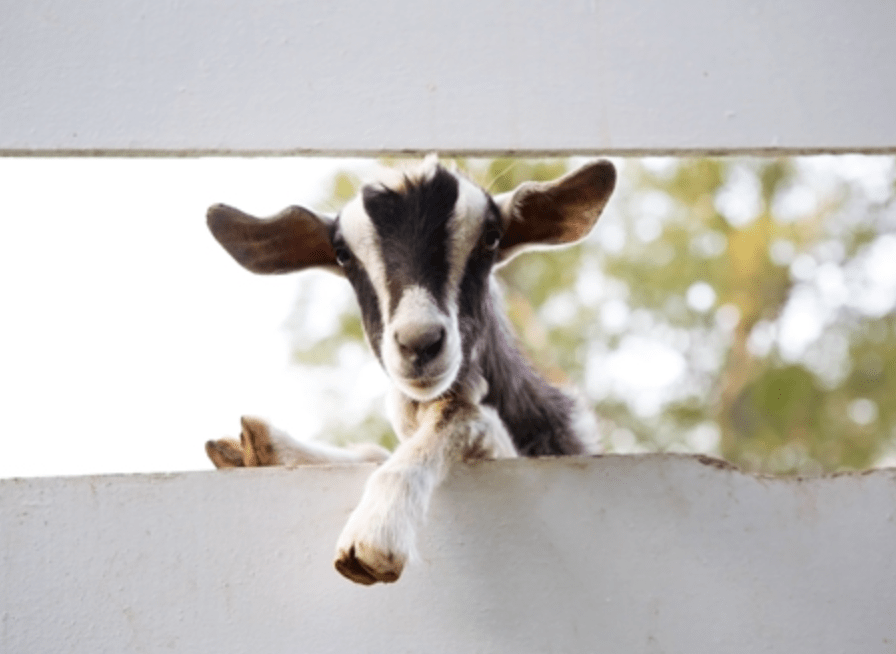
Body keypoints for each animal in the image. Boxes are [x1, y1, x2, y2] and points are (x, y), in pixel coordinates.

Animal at [205, 157, 616, 585]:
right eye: (342, 254)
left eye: (491, 238)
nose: (419, 342)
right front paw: (260, 448)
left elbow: (461, 413)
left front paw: (376, 528)